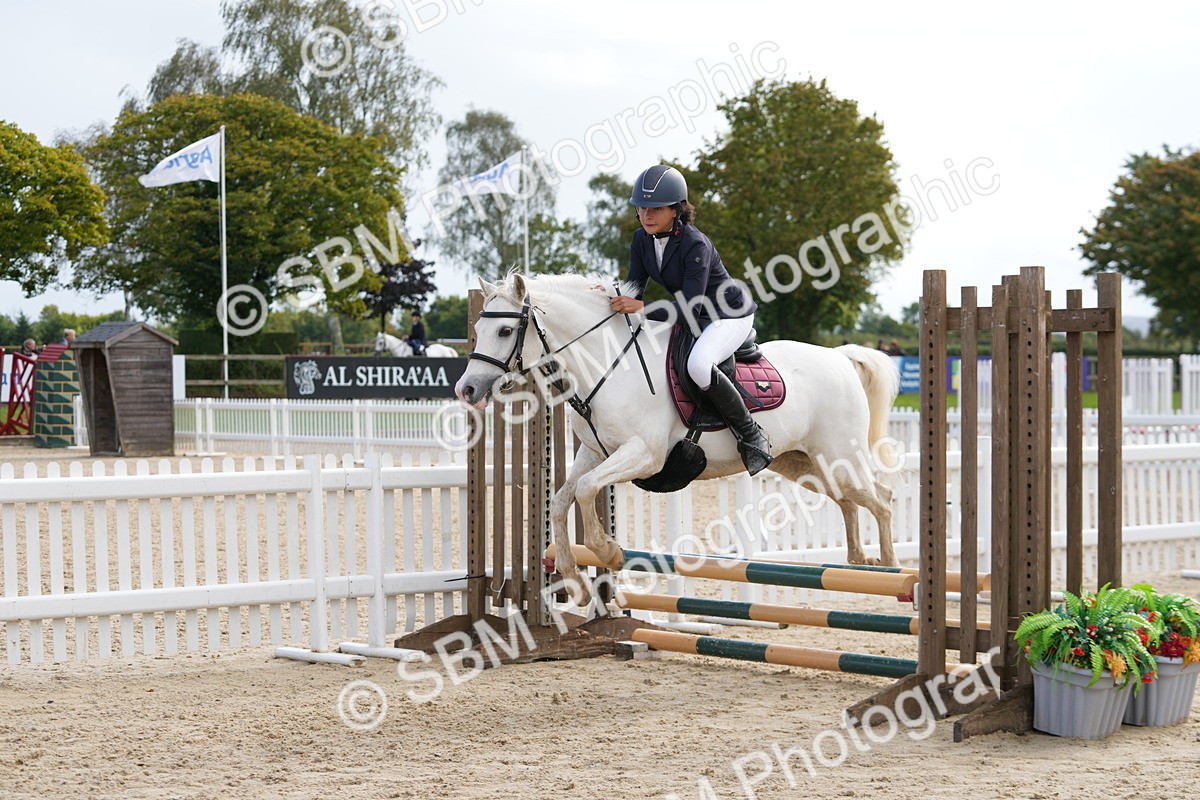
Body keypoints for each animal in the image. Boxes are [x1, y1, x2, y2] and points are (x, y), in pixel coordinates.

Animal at [454, 273, 901, 602]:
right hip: (804, 464)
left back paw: (892, 569)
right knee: (849, 500)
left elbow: (584, 491)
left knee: (881, 499)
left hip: (839, 458)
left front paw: (608, 551)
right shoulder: (596, 453)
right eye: (477, 328)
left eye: (505, 330)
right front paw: (574, 580)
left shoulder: (644, 454)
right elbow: (562, 500)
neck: (608, 362)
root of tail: (839, 357)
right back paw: (858, 560)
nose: (466, 390)